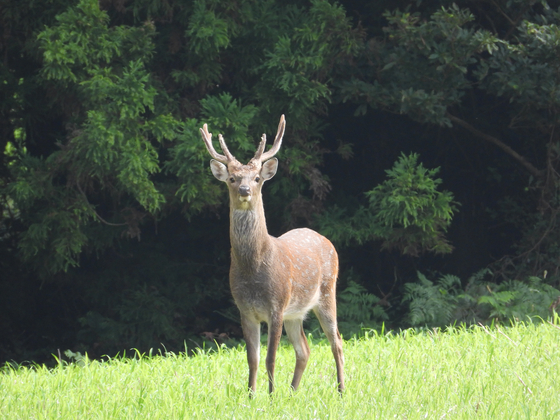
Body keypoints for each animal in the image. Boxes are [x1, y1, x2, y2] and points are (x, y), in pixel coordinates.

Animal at [199, 114, 344, 394]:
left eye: (256, 178)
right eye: (232, 178)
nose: (244, 190)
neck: (253, 268)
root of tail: (326, 240)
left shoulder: (276, 305)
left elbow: (271, 357)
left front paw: (271, 396)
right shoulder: (245, 309)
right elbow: (252, 358)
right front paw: (251, 395)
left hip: (327, 291)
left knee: (337, 342)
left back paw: (342, 391)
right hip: (296, 312)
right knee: (304, 349)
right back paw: (293, 391)